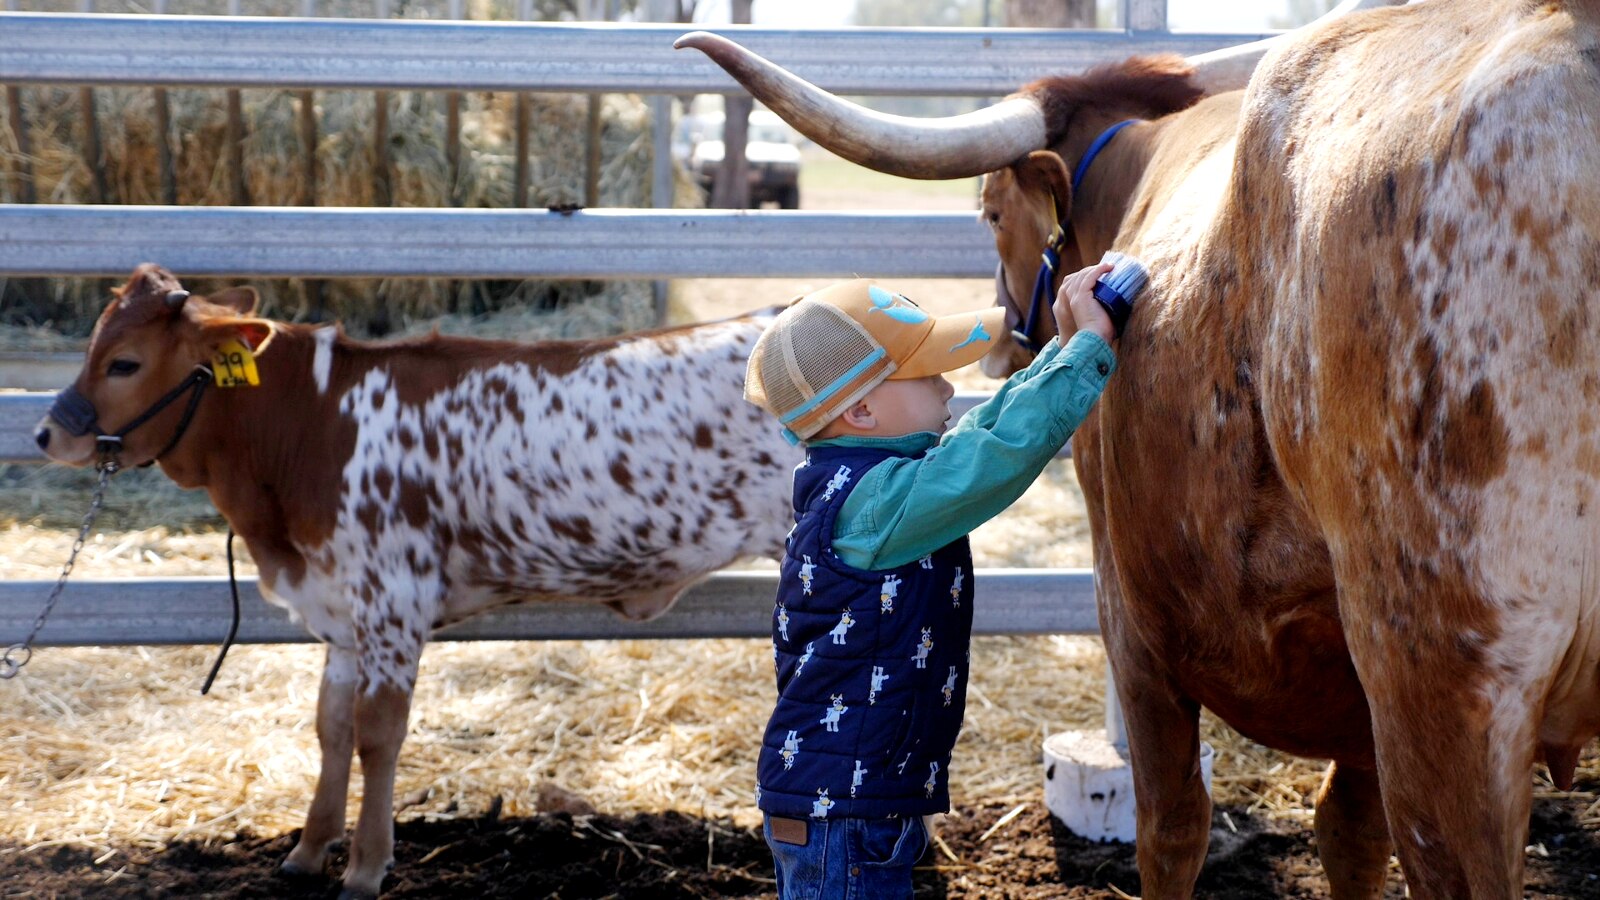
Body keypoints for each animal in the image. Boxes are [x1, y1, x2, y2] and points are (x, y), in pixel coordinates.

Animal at [32, 264, 801, 899]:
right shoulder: (343, 614)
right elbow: (332, 727)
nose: (45, 435)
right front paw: (308, 851)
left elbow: (378, 733)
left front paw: (365, 867)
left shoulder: (391, 601)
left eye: (125, 363)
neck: (314, 424)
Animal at [680, 0, 1600, 895]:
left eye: (990, 213)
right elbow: (1348, 832)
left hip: (1442, 678)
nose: (999, 344)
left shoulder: (1129, 612)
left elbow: (1171, 827)